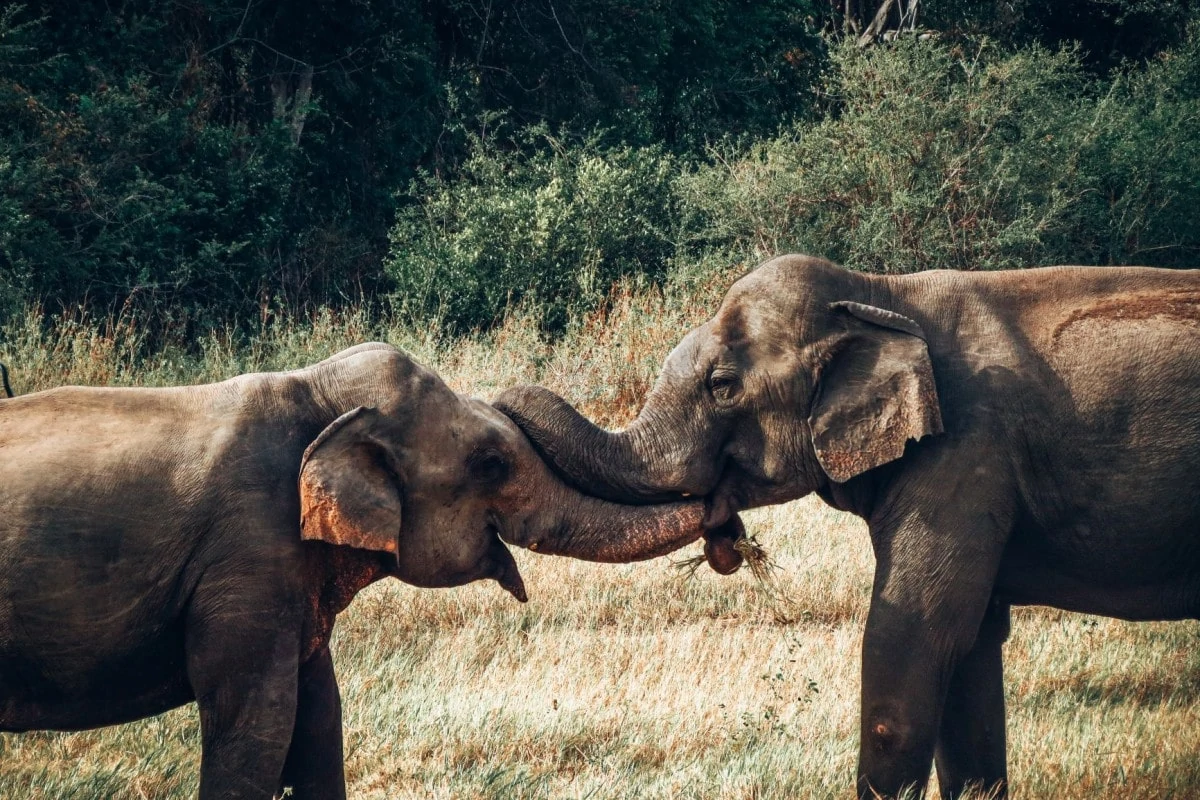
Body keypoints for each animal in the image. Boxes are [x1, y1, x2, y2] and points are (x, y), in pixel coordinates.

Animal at [0, 345, 720, 800]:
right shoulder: (247, 554)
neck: (312, 389)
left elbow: (320, 718)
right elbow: (256, 720)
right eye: (490, 464)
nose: (728, 527)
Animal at [494, 255, 1200, 800]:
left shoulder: (965, 456)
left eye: (722, 386)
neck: (882, 292)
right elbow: (972, 649)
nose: (499, 404)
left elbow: (913, 633)